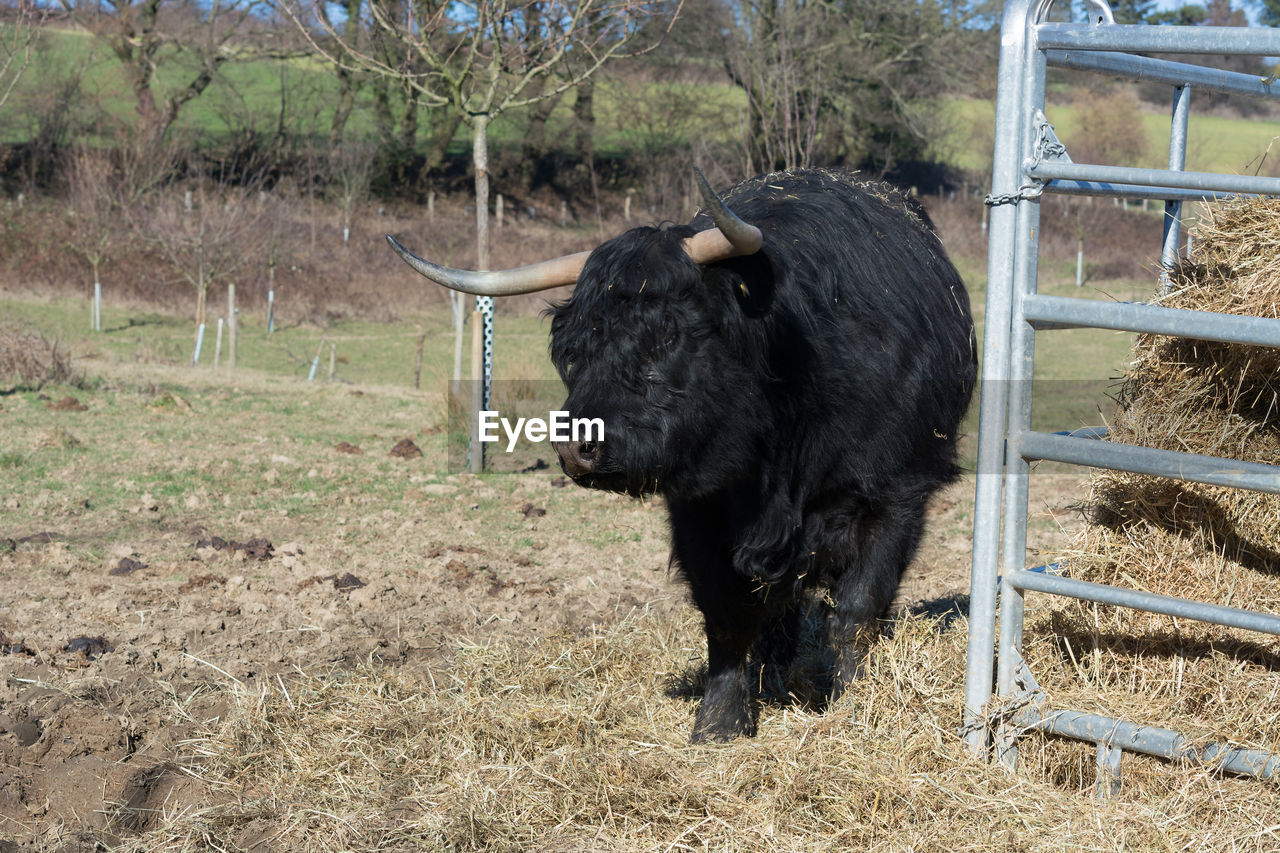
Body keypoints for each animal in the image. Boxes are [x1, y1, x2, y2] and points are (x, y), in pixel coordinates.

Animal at [384, 169, 972, 742]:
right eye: (573, 347)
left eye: (666, 335)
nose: (576, 445)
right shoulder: (698, 512)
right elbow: (728, 616)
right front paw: (721, 721)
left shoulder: (896, 497)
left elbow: (857, 611)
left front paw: (855, 707)